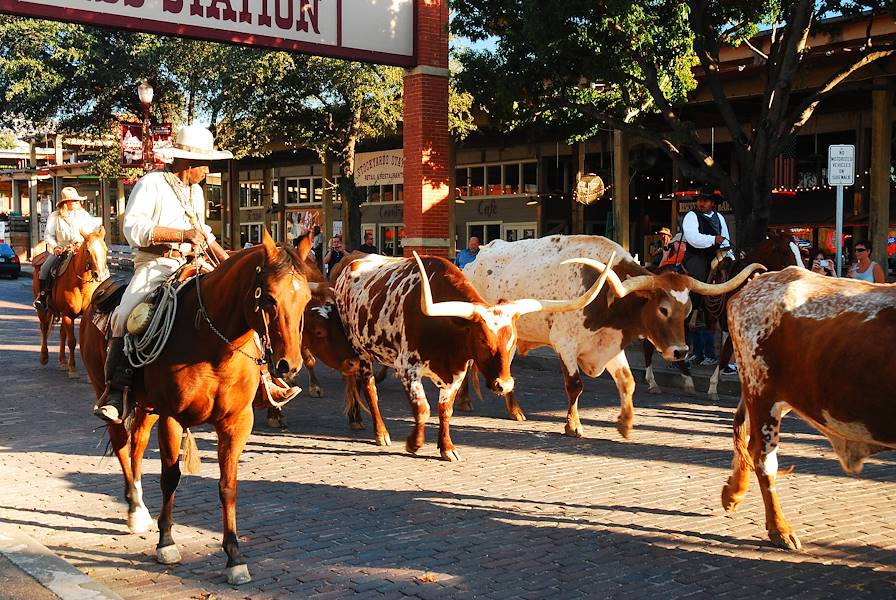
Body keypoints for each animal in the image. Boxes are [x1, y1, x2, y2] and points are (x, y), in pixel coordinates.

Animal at [32, 227, 109, 378]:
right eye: (88, 250)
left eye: (106, 250)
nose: (100, 275)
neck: (80, 285)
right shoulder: (68, 314)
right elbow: (72, 341)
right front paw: (73, 369)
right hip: (43, 310)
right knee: (44, 328)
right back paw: (44, 356)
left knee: (62, 333)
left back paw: (62, 361)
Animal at [78, 231, 316, 584]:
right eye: (270, 298)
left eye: (306, 299)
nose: (289, 365)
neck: (212, 344)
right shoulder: (172, 418)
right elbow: (170, 478)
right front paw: (166, 543)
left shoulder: (235, 423)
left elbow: (228, 486)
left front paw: (234, 557)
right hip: (110, 393)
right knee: (122, 446)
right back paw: (134, 509)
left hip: (146, 409)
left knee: (137, 447)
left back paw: (141, 508)